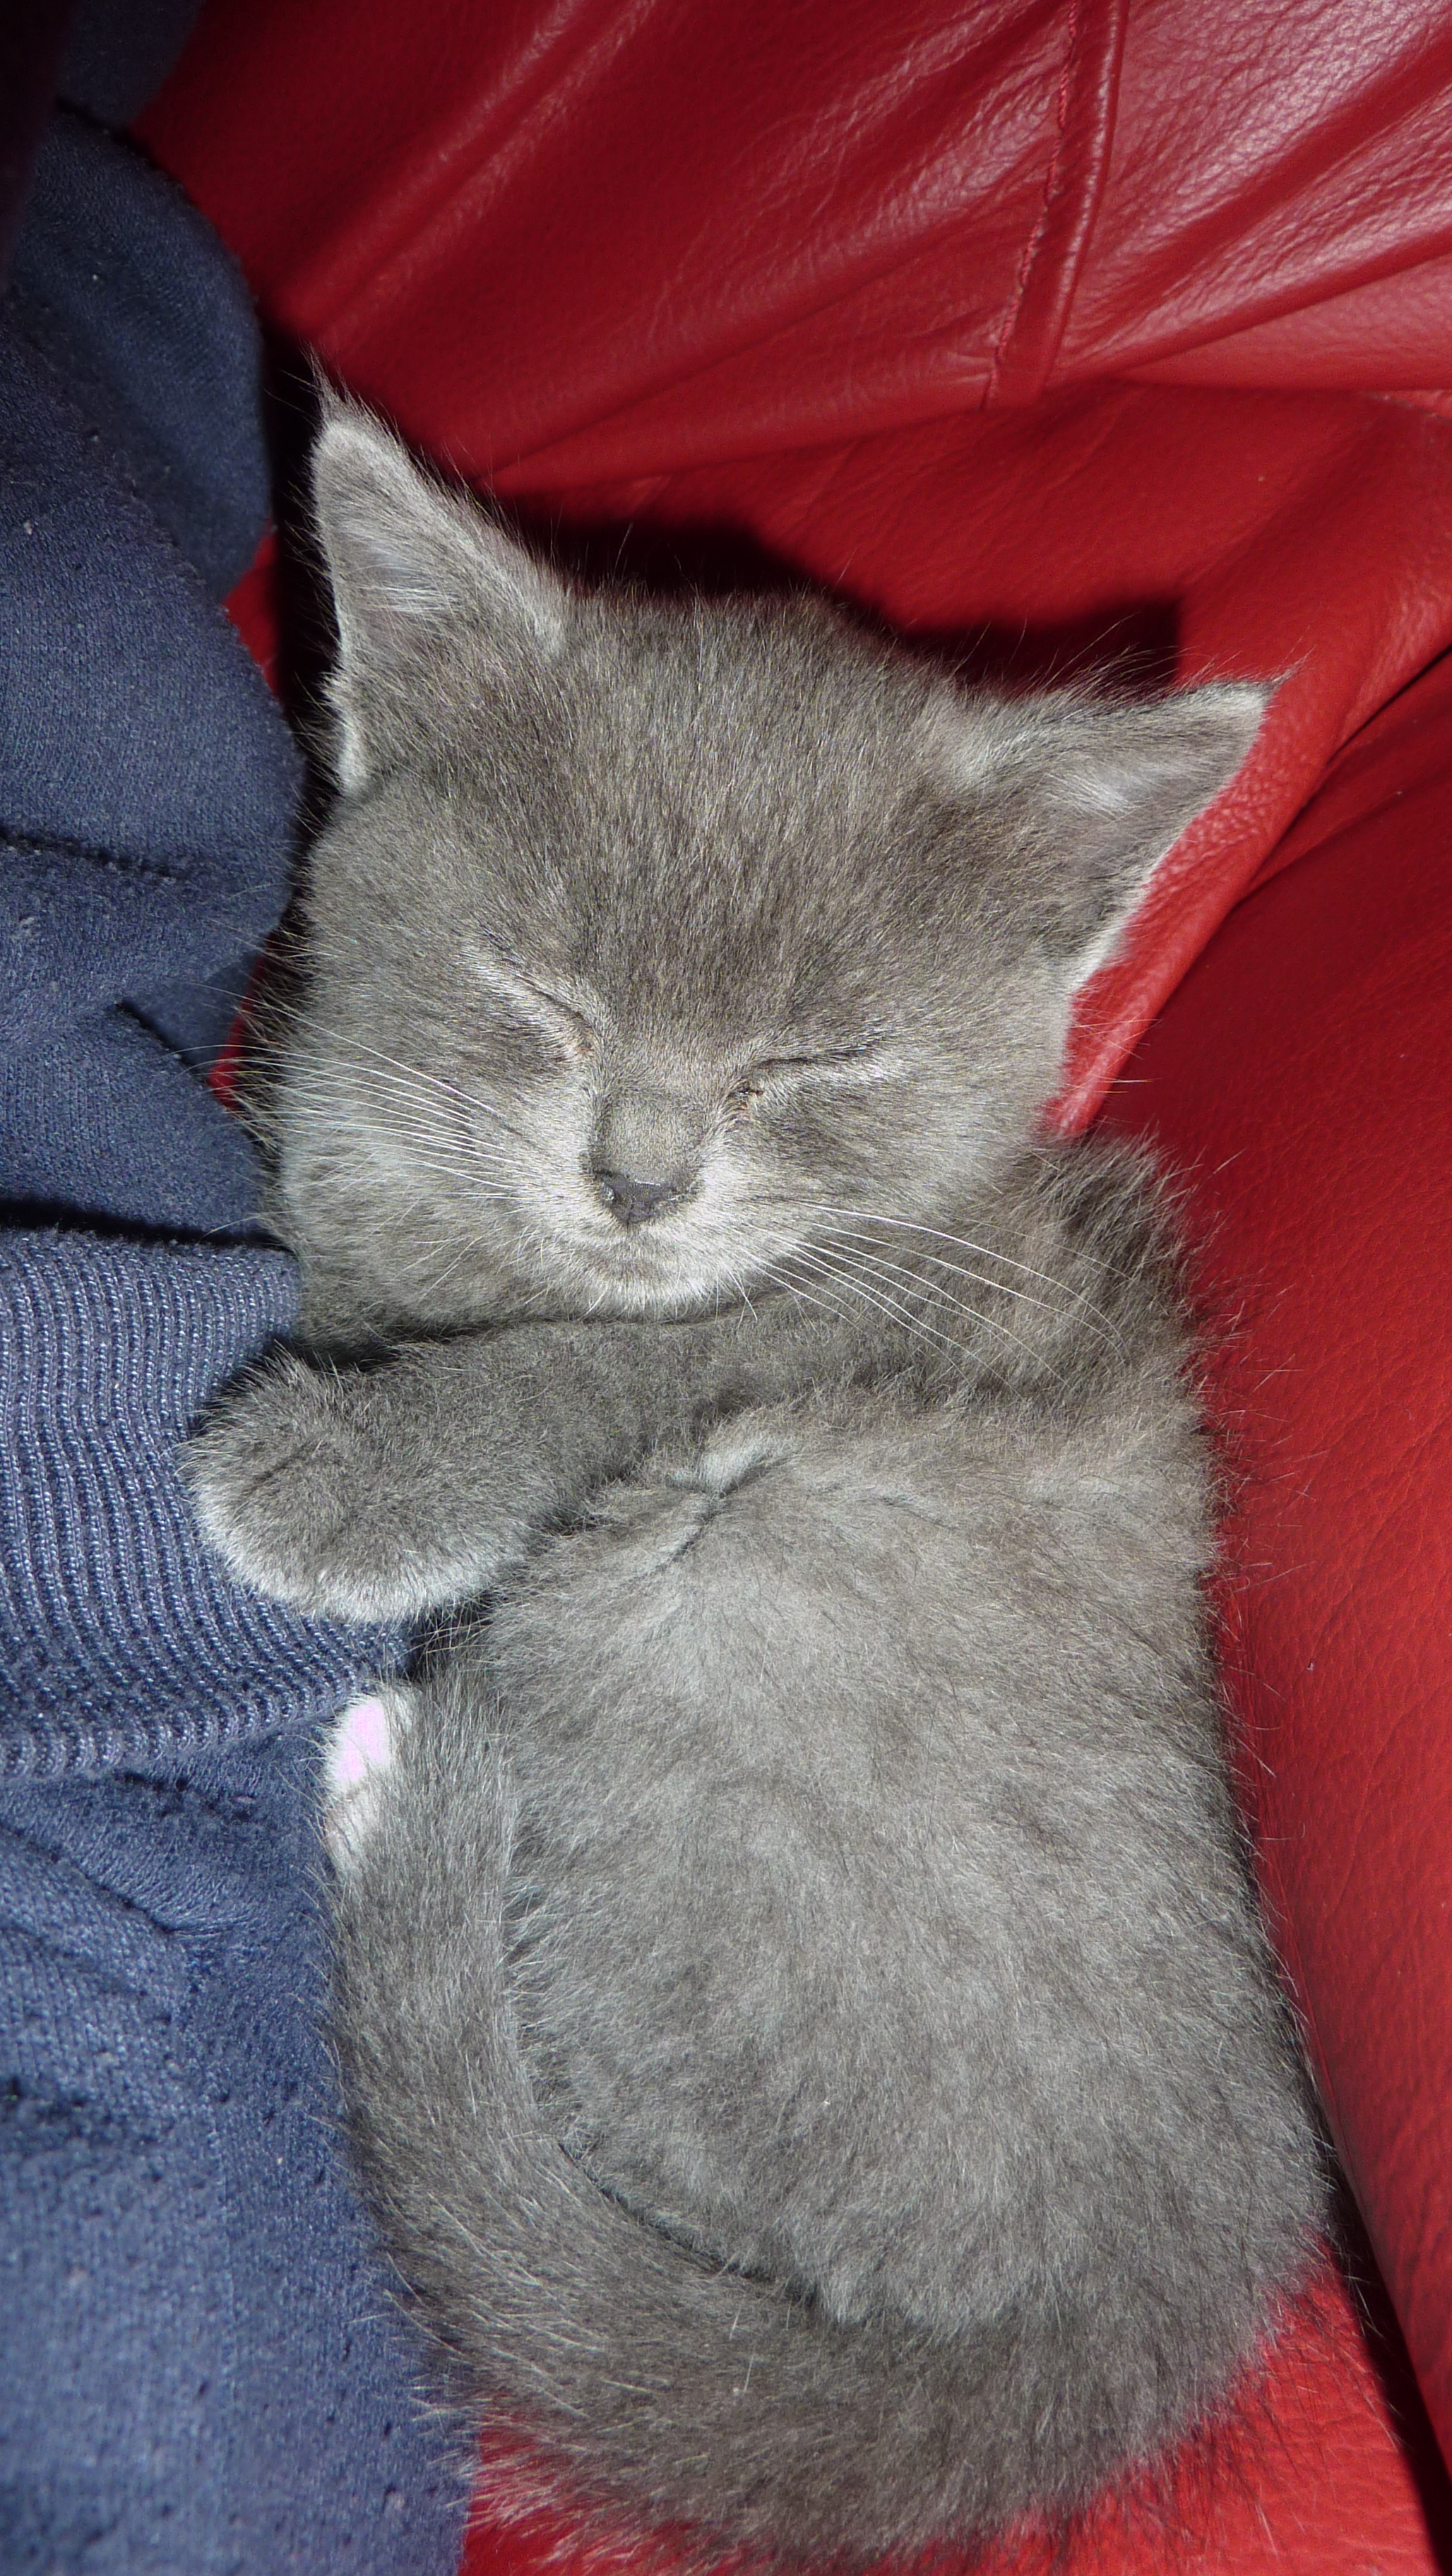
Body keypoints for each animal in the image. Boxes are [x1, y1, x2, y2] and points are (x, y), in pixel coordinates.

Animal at [182, 401, 1324, 2570]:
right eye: (541, 992)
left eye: (814, 1058)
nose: (638, 1176)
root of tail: (1127, 2321)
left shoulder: (900, 1307)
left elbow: (623, 1355)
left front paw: (335, 1479)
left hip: (727, 1559)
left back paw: (399, 1801)